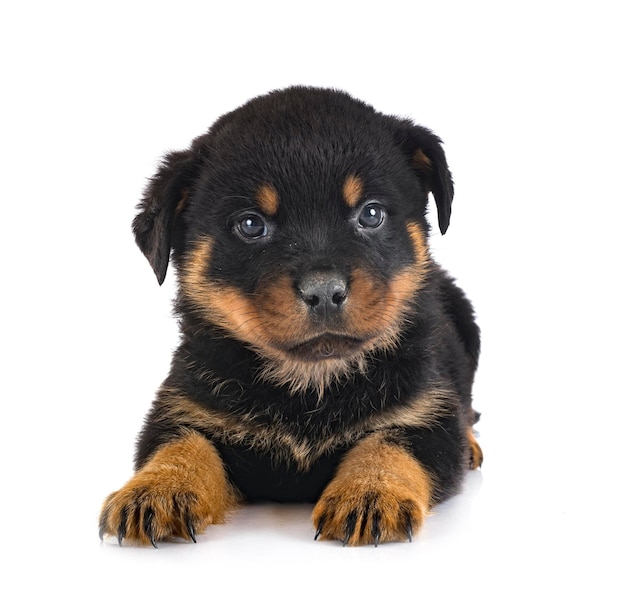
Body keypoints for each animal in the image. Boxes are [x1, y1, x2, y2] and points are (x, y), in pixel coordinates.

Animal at [97, 86, 480, 548]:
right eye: (250, 224)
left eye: (371, 214)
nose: (325, 291)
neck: (310, 384)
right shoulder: (182, 406)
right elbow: (180, 445)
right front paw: (157, 489)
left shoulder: (427, 411)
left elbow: (392, 443)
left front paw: (370, 492)